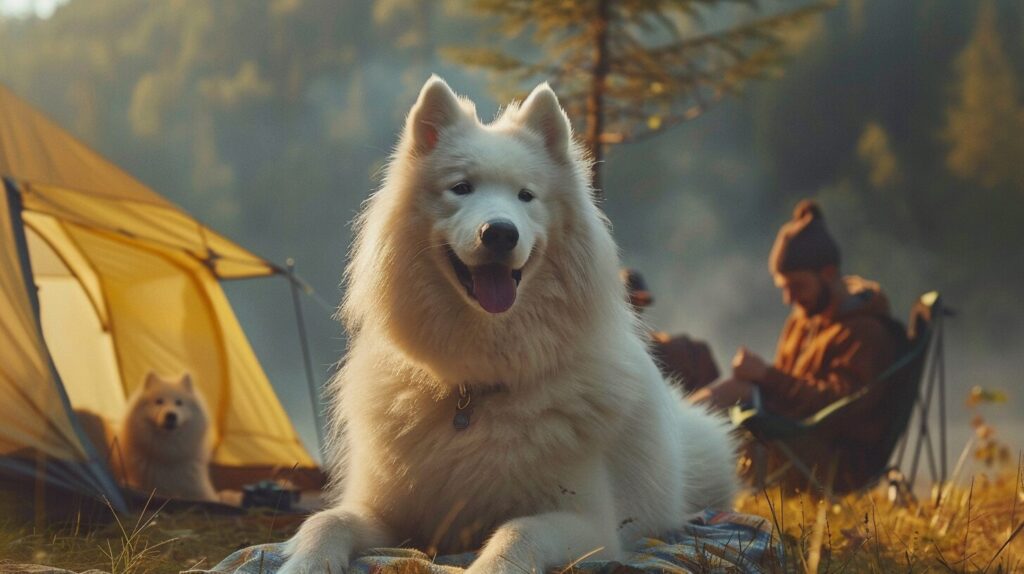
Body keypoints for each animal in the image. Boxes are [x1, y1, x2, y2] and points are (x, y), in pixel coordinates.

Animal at [280, 77, 737, 572]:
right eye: (461, 188)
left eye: (526, 196)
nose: (499, 232)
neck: (474, 389)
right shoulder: (388, 514)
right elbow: (326, 520)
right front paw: (305, 562)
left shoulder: (590, 526)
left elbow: (519, 529)